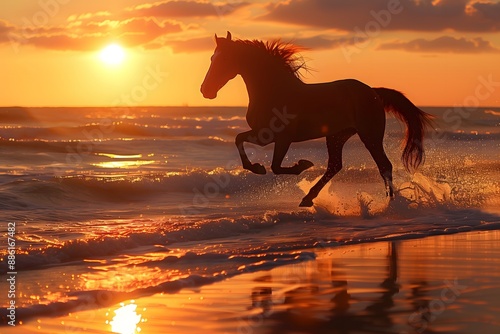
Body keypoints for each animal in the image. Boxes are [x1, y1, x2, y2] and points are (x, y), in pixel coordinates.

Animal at [199, 32, 434, 207]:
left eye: (224, 59)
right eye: (211, 58)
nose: (205, 91)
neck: (275, 92)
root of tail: (373, 92)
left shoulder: (281, 138)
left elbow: (276, 166)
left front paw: (302, 165)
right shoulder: (263, 135)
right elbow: (239, 139)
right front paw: (258, 167)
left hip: (370, 135)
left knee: (384, 165)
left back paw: (390, 204)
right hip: (337, 136)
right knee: (335, 166)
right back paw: (308, 198)